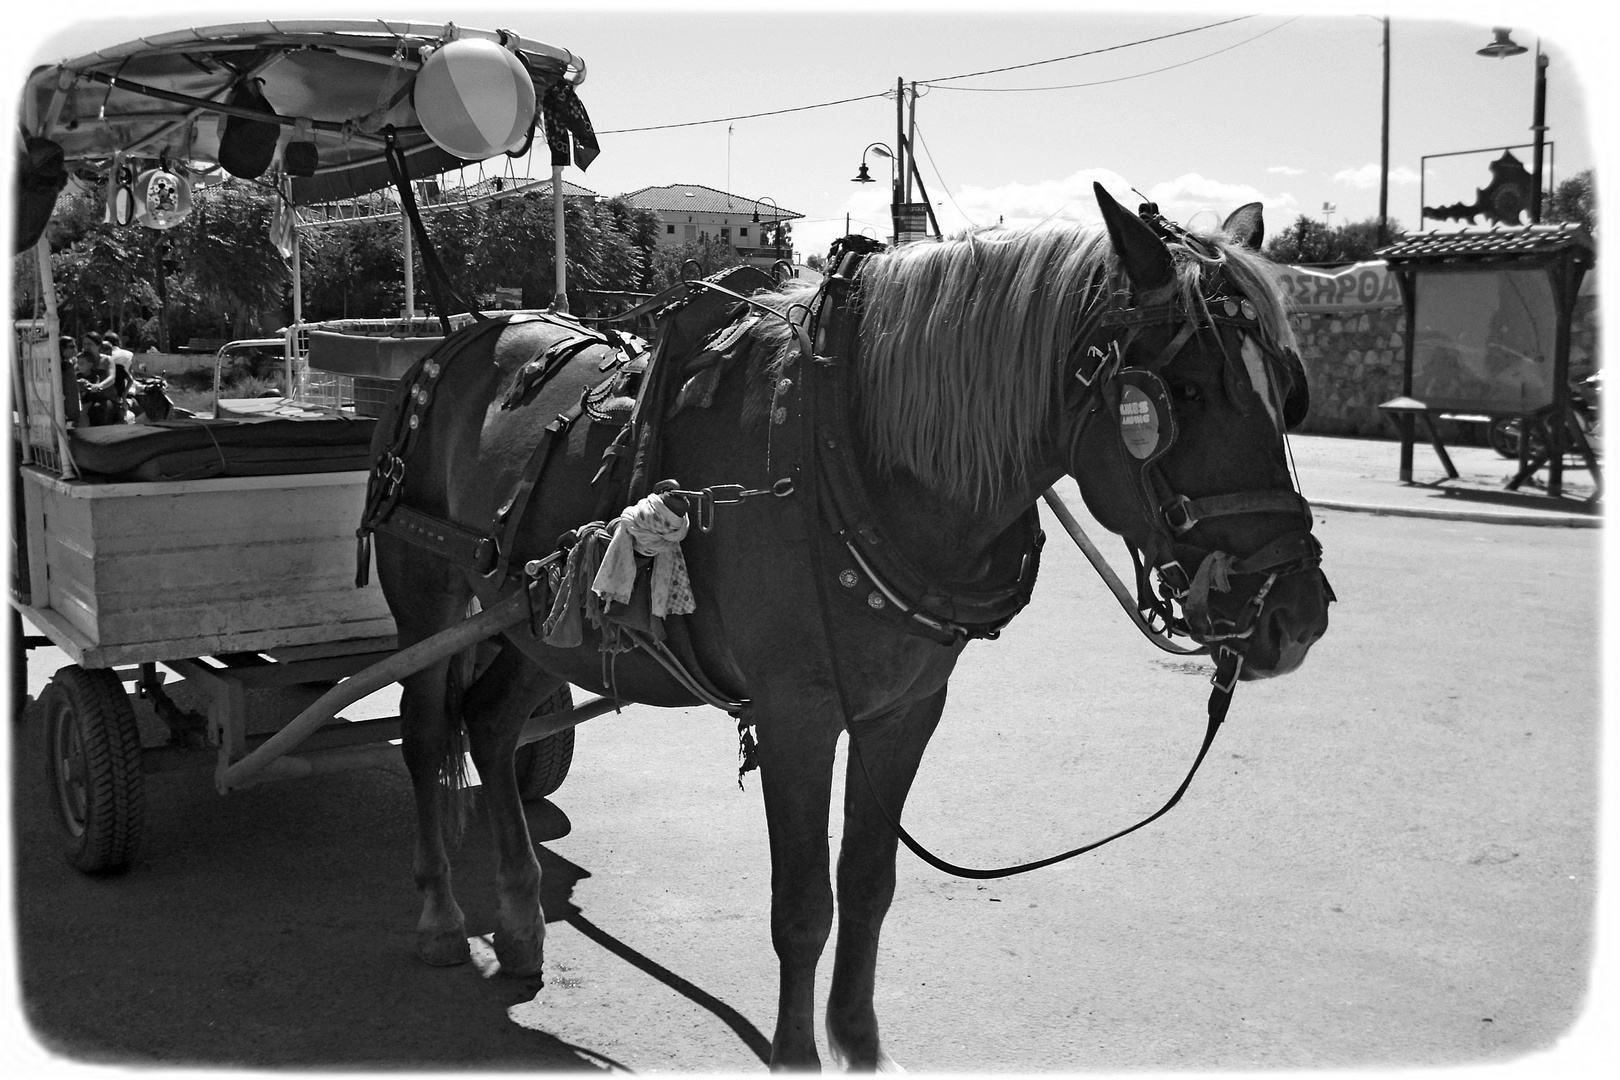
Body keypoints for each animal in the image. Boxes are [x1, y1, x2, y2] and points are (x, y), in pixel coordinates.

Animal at [372, 186, 1334, 1075]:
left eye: (1290, 390)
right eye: (1184, 394)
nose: (1296, 617)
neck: (853, 446)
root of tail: (462, 336)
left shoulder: (904, 710)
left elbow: (869, 885)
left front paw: (861, 1044)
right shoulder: (797, 716)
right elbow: (803, 906)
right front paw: (799, 1052)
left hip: (545, 618)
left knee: (493, 725)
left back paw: (521, 923)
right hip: (429, 595)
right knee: (426, 731)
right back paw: (440, 916)